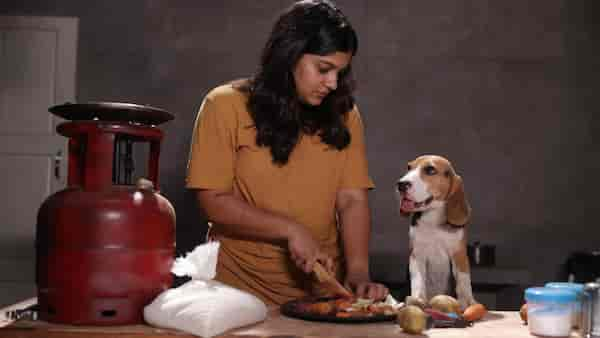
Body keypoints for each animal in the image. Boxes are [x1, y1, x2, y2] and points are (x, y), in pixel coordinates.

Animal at [396, 154, 476, 308]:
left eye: (430, 170)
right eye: (409, 168)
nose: (401, 184)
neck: (432, 219)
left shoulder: (459, 254)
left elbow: (463, 280)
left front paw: (468, 301)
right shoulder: (417, 255)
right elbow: (418, 280)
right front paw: (418, 299)